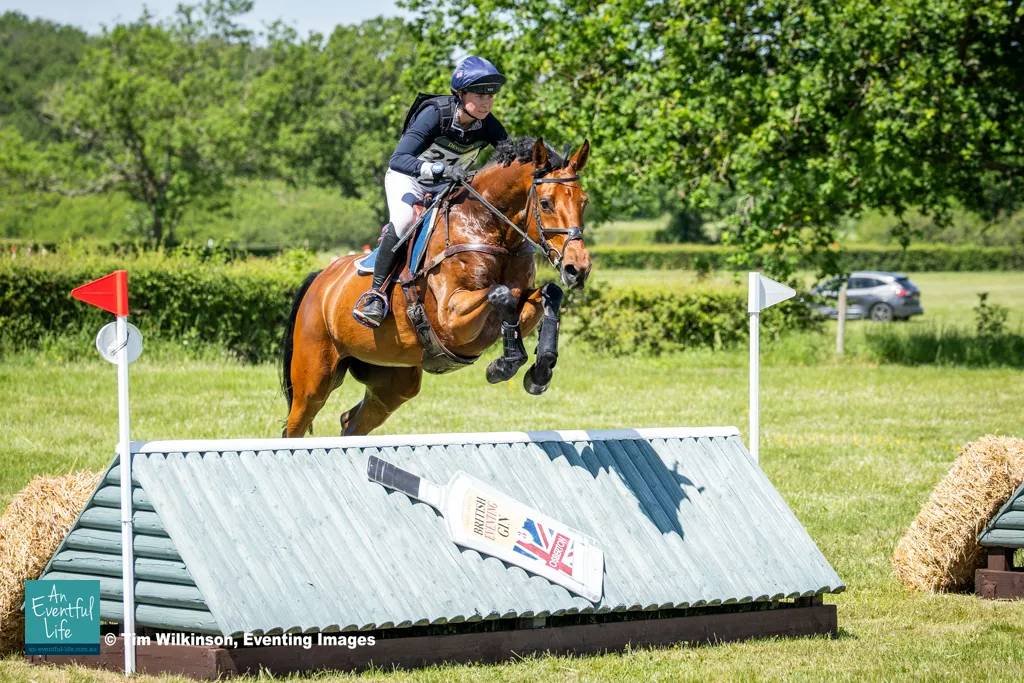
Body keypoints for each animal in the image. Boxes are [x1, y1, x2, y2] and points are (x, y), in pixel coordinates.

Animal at [280, 137, 592, 438]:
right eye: (546, 203)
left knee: (351, 422)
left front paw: (540, 372)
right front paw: (504, 365)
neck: (488, 228)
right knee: (295, 425)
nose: (577, 269)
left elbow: (549, 294)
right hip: (314, 379)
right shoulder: (450, 318)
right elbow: (500, 294)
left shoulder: (518, 303)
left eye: (584, 202)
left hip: (393, 382)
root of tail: (321, 278)